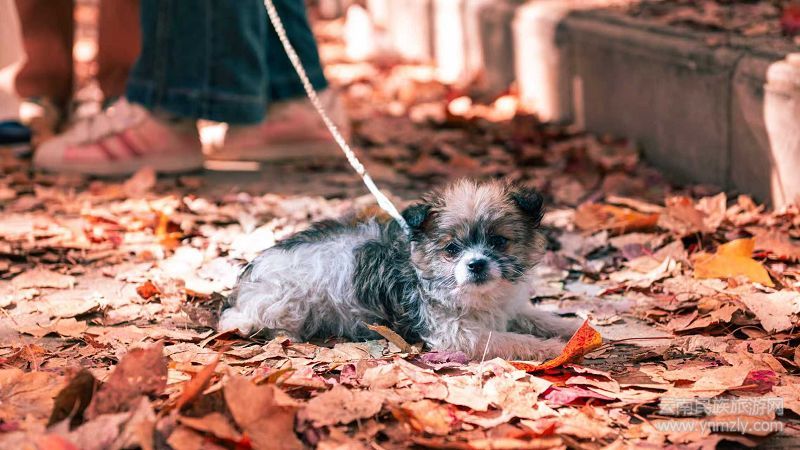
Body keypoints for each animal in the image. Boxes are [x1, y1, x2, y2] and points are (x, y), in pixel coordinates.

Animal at [218, 179, 579, 360]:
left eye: (500, 242)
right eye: (451, 249)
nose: (476, 264)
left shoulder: (511, 308)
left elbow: (540, 318)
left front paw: (573, 328)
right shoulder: (457, 335)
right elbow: (511, 340)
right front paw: (553, 349)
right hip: (287, 304)